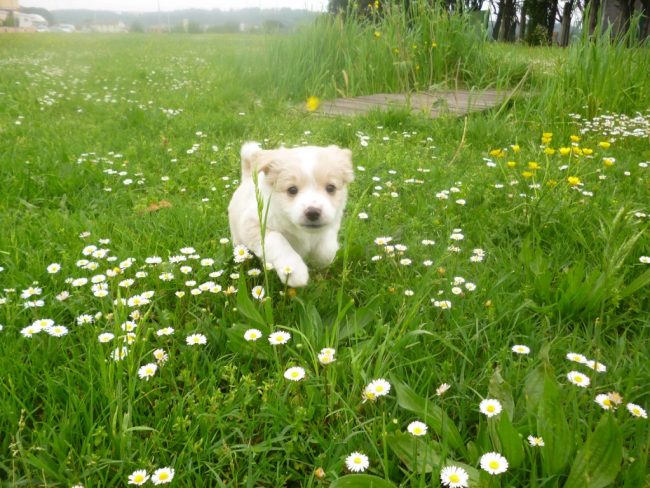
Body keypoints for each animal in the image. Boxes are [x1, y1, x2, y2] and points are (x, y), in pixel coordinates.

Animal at [229, 141, 354, 288]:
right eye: (292, 190)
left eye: (331, 188)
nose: (313, 212)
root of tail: (247, 179)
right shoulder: (253, 224)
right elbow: (278, 241)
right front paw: (294, 272)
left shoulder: (332, 221)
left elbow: (326, 249)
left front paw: (320, 260)